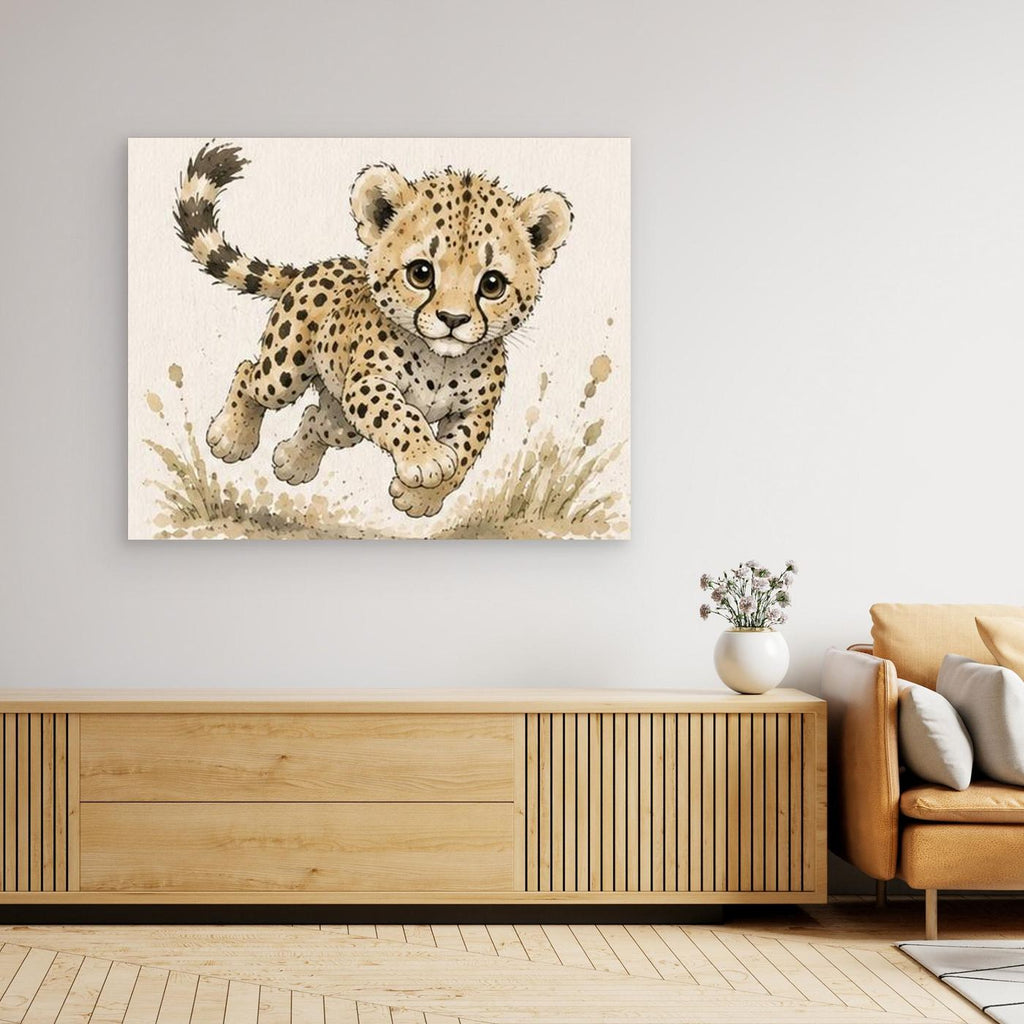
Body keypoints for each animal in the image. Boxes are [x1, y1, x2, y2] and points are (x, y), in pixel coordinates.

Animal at [173, 143, 572, 518]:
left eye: (492, 284)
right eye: (421, 273)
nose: (453, 319)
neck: (442, 362)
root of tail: (315, 267)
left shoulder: (476, 411)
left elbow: (463, 452)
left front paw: (420, 497)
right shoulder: (368, 382)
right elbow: (398, 413)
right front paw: (426, 458)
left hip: (342, 417)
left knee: (318, 419)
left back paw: (294, 462)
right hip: (284, 372)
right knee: (250, 375)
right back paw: (231, 436)